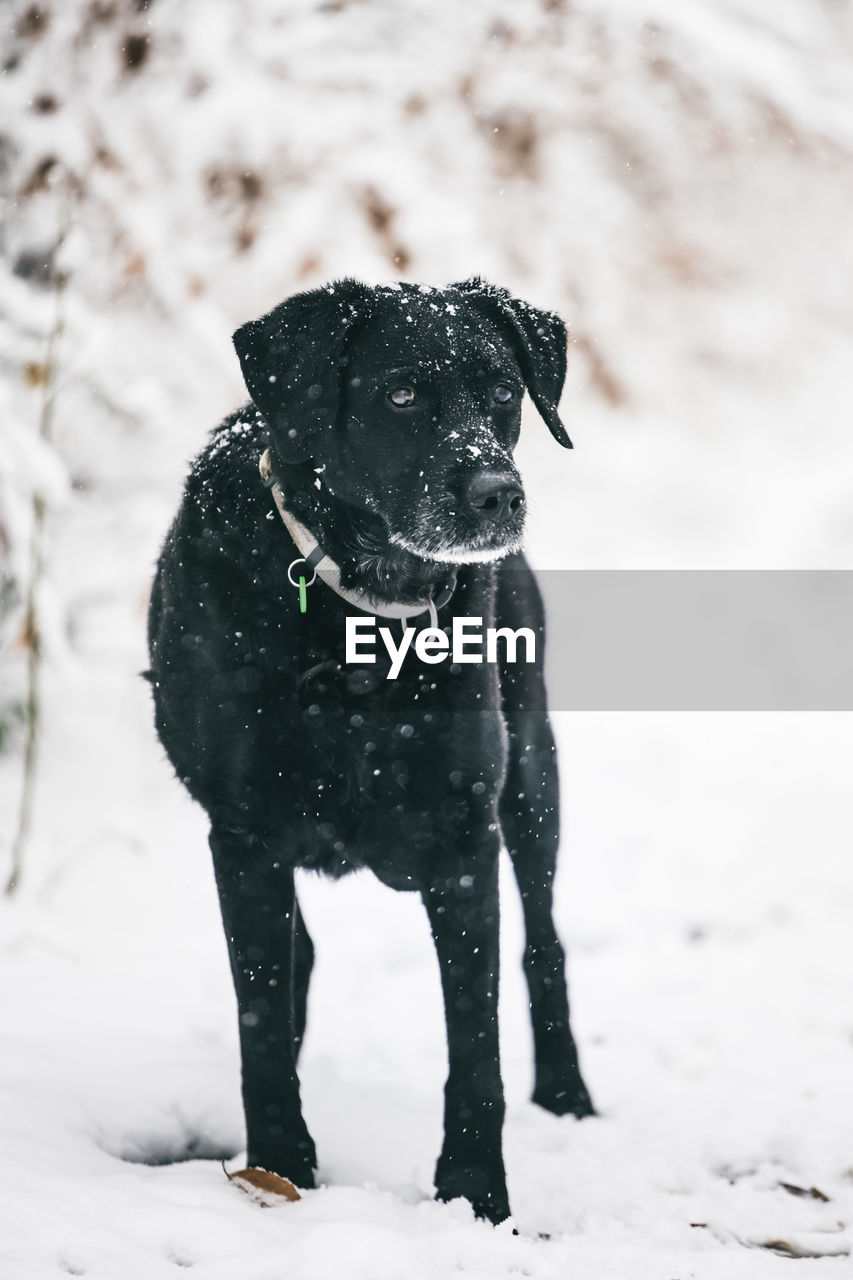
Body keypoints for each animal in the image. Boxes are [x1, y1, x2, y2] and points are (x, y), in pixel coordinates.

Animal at [147, 277, 591, 1218]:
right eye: (400, 394)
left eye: (503, 390)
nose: (498, 493)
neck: (362, 607)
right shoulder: (244, 836)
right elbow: (260, 1019)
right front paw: (281, 1166)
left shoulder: (465, 838)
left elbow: (475, 1045)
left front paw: (475, 1197)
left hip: (533, 779)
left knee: (544, 942)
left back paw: (567, 1092)